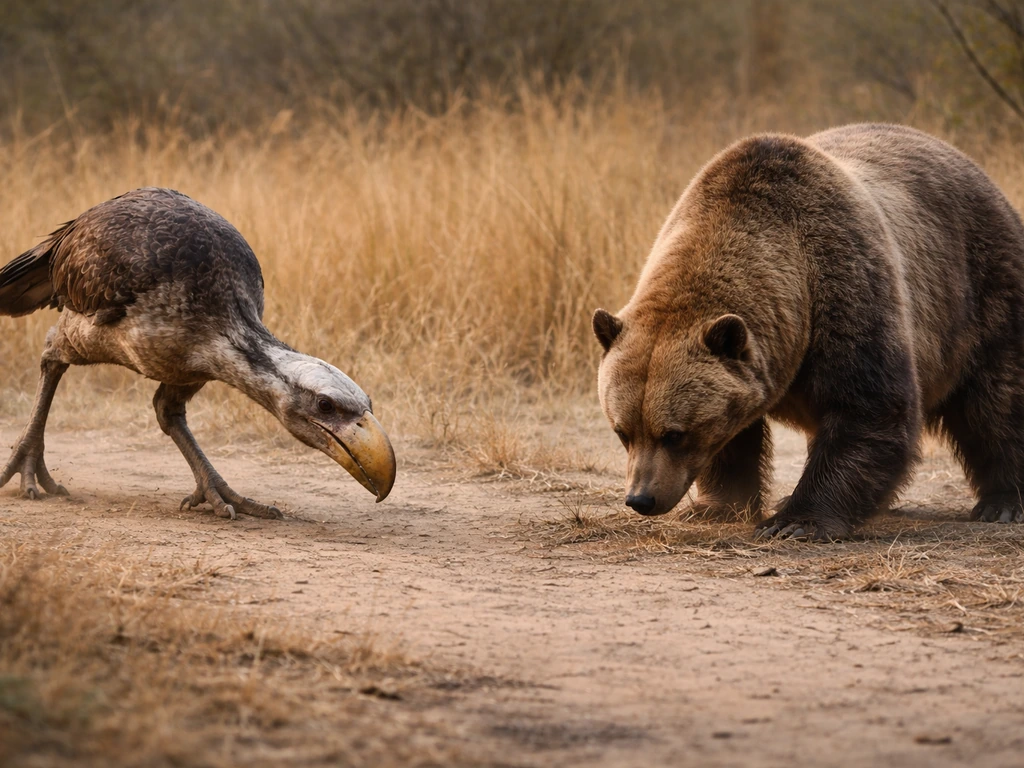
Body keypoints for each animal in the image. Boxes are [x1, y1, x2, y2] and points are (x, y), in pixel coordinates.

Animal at [593, 123, 1024, 540]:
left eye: (675, 434)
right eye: (623, 431)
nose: (641, 498)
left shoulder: (847, 286)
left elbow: (869, 408)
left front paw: (794, 521)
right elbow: (736, 437)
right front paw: (715, 506)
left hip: (980, 289)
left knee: (998, 399)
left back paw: (1002, 503)